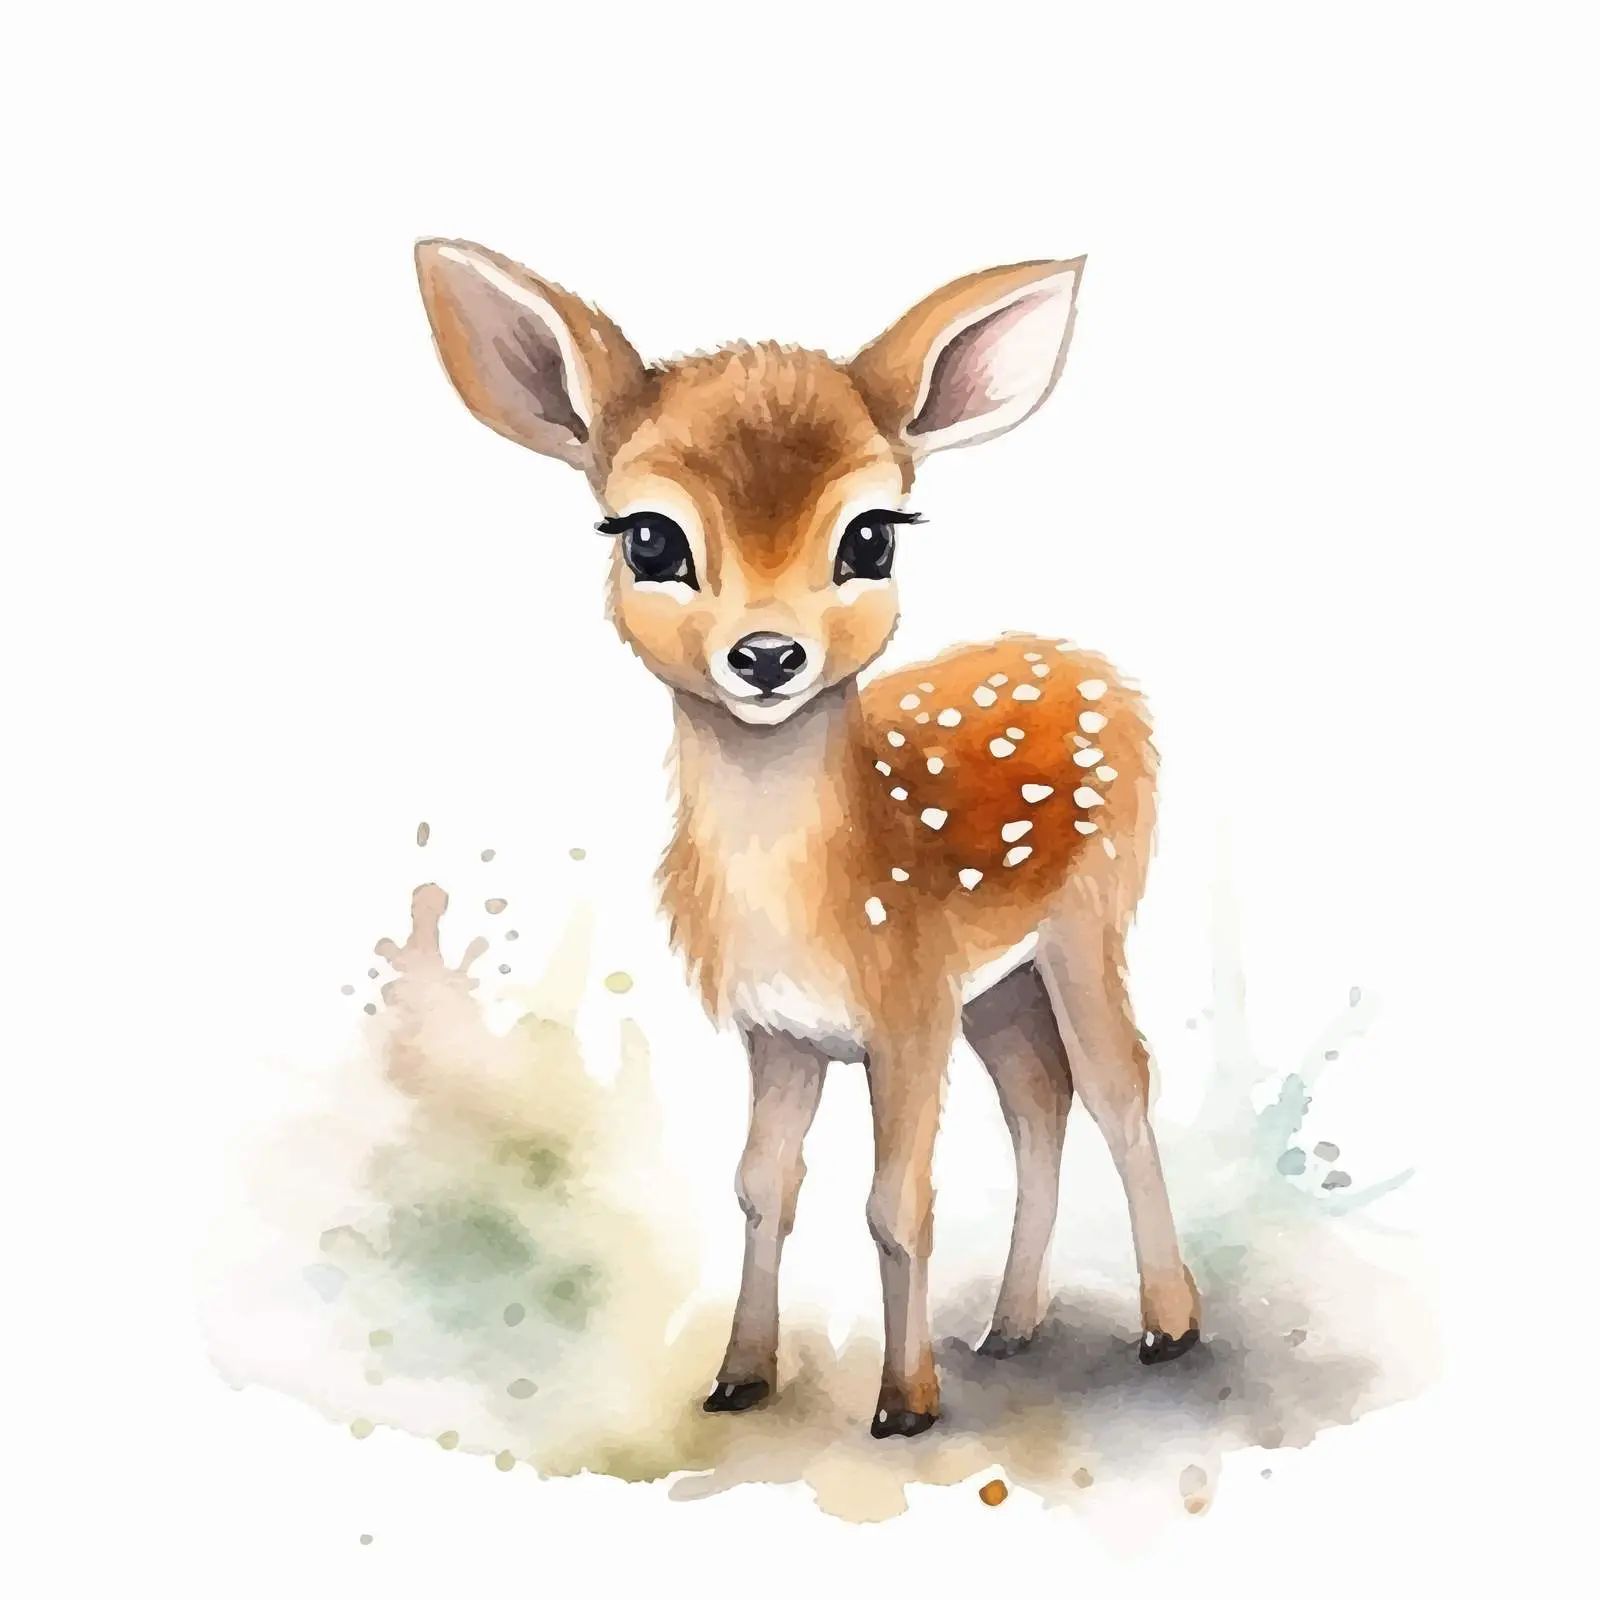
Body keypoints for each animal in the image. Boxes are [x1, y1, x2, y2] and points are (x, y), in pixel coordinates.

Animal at [414, 238, 1201, 1439]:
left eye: (870, 535)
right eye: (650, 537)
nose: (768, 654)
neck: (818, 895)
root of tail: (1092, 664)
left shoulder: (908, 1007)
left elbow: (896, 1203)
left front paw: (905, 1404)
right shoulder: (778, 1027)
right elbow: (761, 1186)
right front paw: (740, 1376)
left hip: (1090, 915)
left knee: (1118, 1087)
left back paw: (1170, 1325)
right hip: (999, 977)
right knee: (1038, 1099)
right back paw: (1011, 1326)